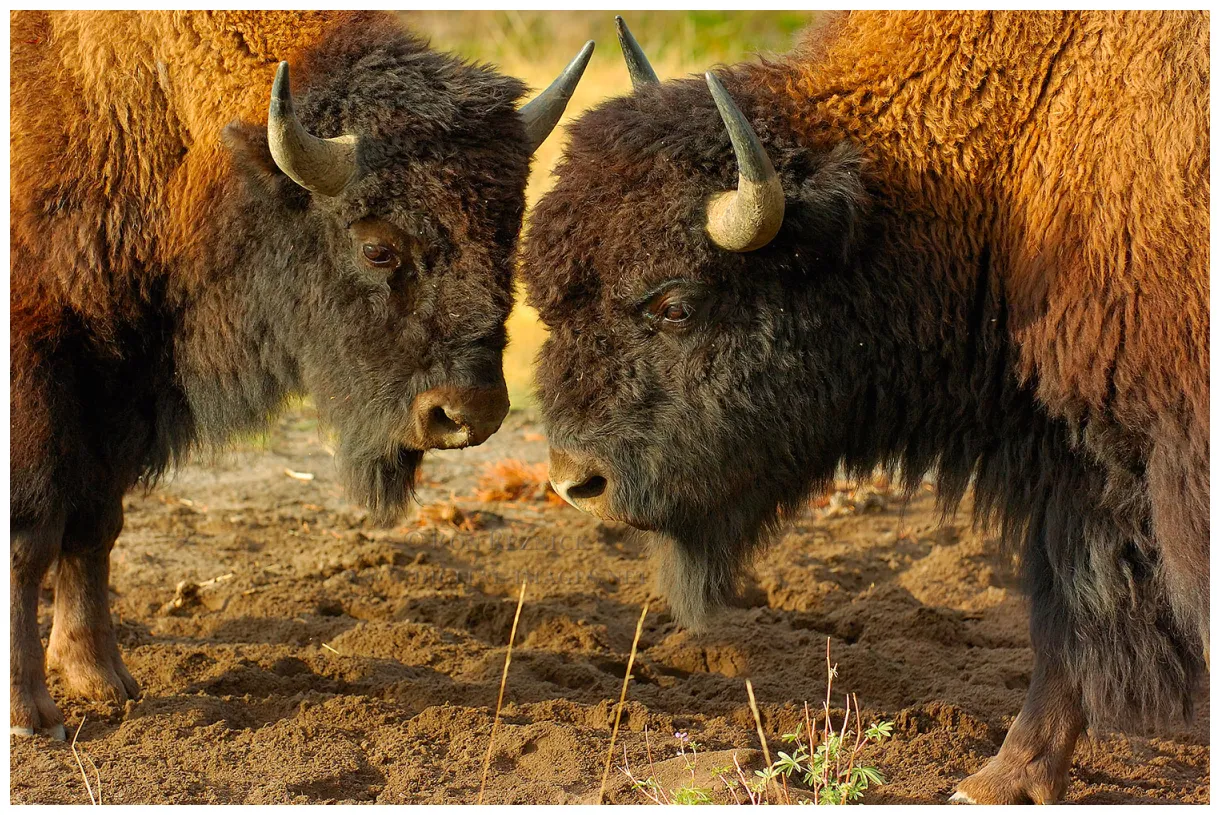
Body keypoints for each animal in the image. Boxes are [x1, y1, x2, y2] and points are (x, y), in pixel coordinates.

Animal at [10, 10, 591, 738]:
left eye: (508, 237)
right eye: (377, 248)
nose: (467, 413)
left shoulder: (120, 388)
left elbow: (95, 526)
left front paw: (103, 680)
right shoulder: (40, 375)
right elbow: (30, 535)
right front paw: (32, 714)